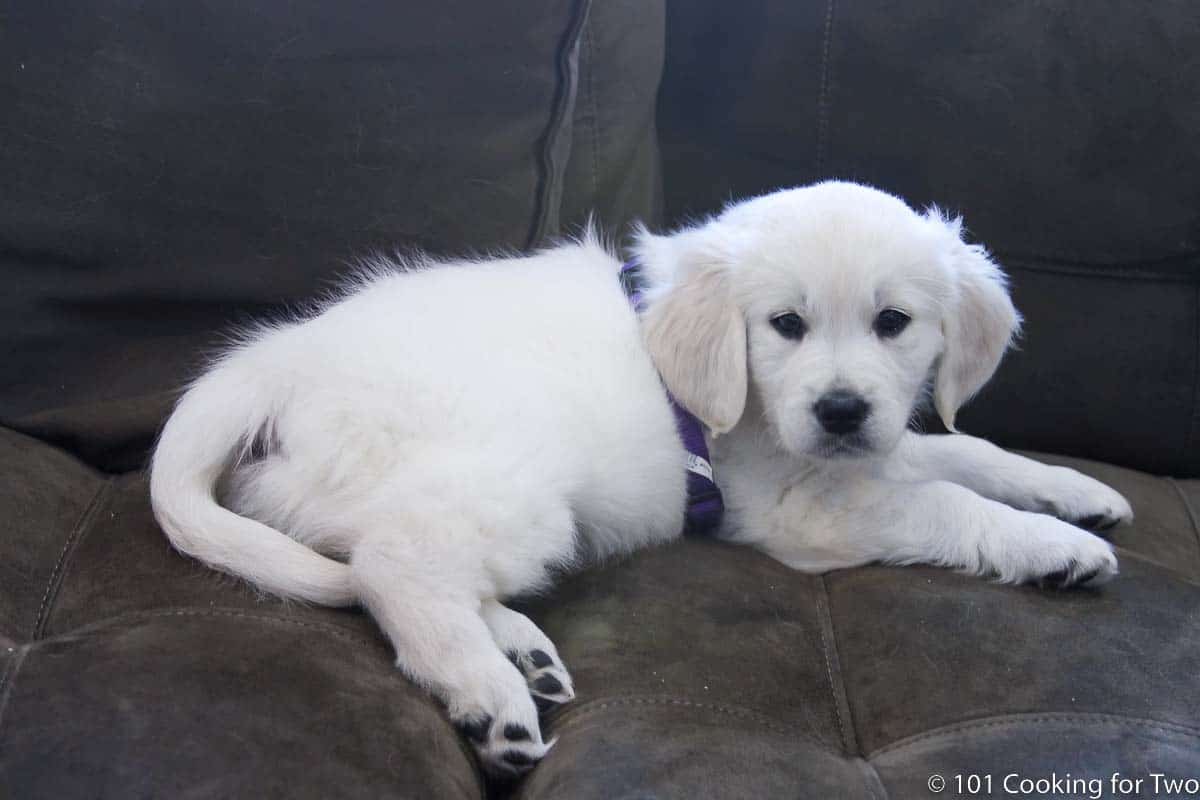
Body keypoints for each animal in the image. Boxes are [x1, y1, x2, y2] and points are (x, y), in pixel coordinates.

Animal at [147, 179, 1123, 777]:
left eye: (894, 322)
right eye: (785, 325)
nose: (842, 411)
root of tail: (279, 358)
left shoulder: (863, 455)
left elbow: (966, 452)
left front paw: (1077, 493)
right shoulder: (797, 506)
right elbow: (946, 501)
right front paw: (1053, 547)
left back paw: (522, 652)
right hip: (517, 488)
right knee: (392, 565)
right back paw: (488, 692)